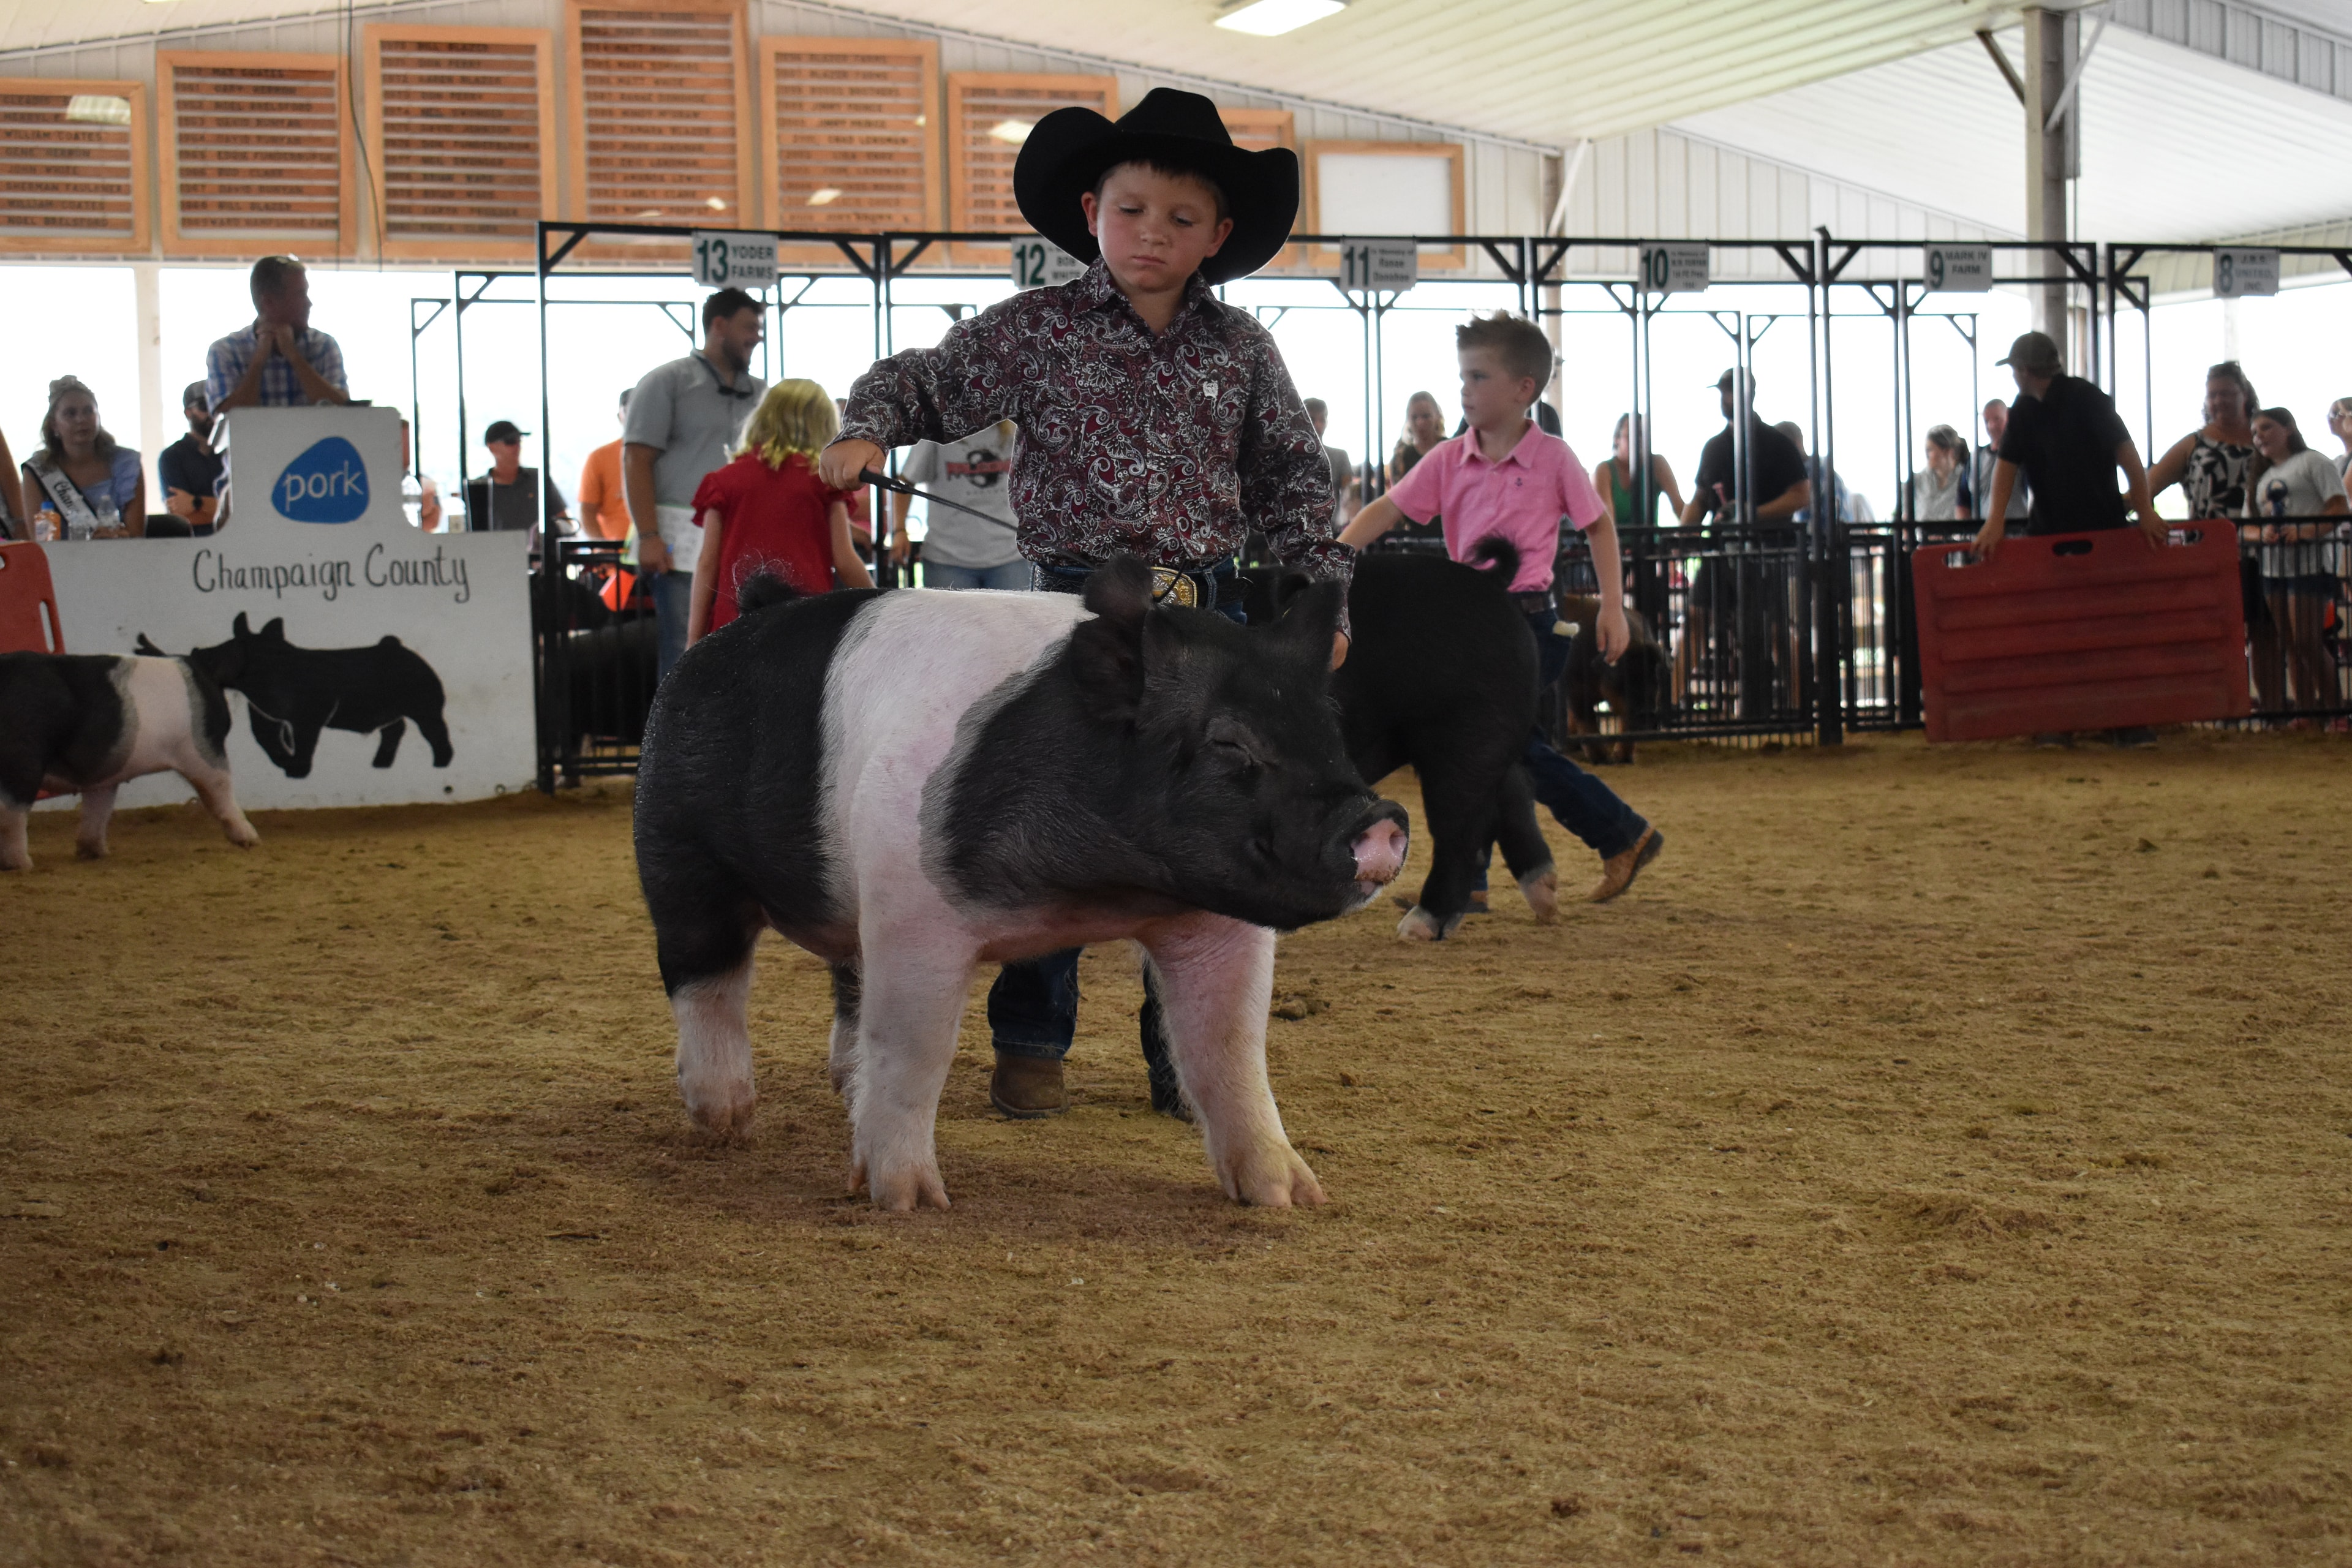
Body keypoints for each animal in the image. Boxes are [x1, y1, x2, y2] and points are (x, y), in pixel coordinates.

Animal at [0, 651, 259, 870]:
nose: (254, 841)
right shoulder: (202, 746)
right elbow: (221, 791)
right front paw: (252, 841)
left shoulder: (103, 775)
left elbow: (98, 811)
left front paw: (96, 853)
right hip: (24, 761)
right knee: (12, 813)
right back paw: (22, 865)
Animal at [632, 559, 1409, 1212]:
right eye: (1229, 742)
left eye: (1329, 729)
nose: (1383, 820)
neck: (1096, 890)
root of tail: (736, 623)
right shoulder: (912, 908)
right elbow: (915, 1047)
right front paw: (910, 1201)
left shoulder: (1219, 920)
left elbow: (1232, 1047)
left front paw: (1292, 1199)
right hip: (676, 847)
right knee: (704, 975)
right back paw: (726, 1118)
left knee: (846, 982)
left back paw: (841, 1088)